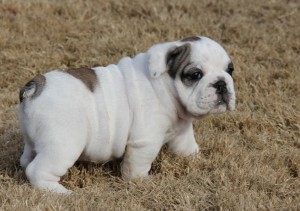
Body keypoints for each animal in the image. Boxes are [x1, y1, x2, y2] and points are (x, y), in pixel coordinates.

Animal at [18, 35, 237, 193]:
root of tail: (35, 87)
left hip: (33, 139)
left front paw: (197, 160)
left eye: (230, 70)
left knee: (27, 158)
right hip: (63, 145)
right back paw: (59, 192)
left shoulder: (182, 131)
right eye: (195, 74)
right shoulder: (145, 142)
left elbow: (188, 147)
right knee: (38, 170)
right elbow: (137, 167)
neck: (165, 87)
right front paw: (142, 182)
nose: (221, 83)